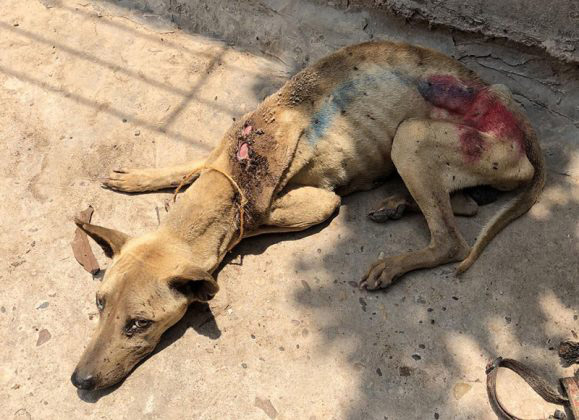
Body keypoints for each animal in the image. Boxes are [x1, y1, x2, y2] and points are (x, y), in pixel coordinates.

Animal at [70, 40, 548, 390]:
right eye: (99, 303)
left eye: (138, 324)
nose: (80, 381)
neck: (239, 171)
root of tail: (524, 127)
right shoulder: (215, 161)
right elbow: (189, 167)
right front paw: (139, 178)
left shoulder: (318, 202)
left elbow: (252, 222)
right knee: (464, 204)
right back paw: (401, 204)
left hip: (412, 139)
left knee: (451, 239)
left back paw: (392, 263)